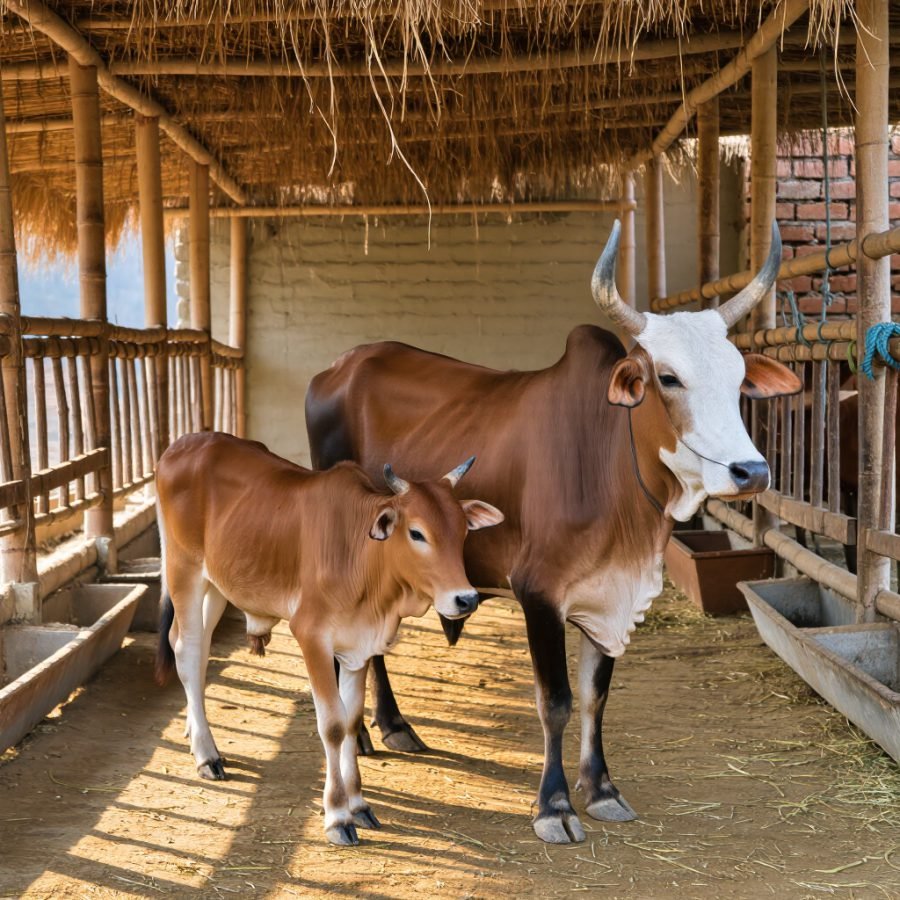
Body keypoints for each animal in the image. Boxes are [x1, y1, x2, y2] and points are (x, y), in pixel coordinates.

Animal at [153, 432, 504, 846]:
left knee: (196, 646)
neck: (362, 556)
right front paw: (337, 816)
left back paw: (195, 730)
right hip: (185, 570)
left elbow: (352, 722)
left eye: (463, 531)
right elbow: (333, 725)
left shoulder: (359, 646)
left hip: (218, 584)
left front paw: (359, 805)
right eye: (417, 532)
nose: (465, 599)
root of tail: (183, 444)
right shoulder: (312, 636)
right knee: (187, 650)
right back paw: (207, 755)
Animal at [305, 220, 802, 845]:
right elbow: (556, 700)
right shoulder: (538, 592)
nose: (750, 472)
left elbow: (595, 694)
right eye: (668, 377)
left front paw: (603, 789)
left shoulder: (613, 597)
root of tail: (337, 367)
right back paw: (376, 732)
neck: (610, 464)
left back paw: (390, 726)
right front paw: (555, 805)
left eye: (738, 379)